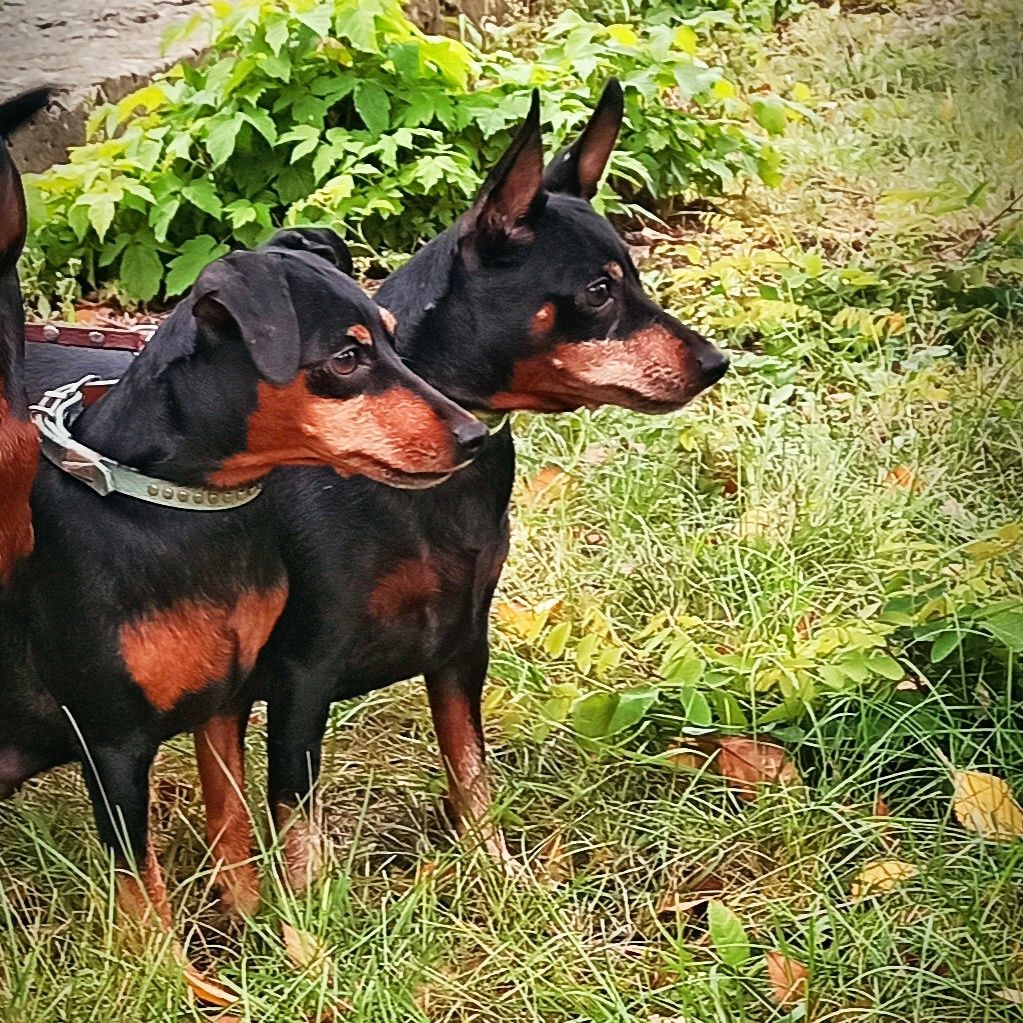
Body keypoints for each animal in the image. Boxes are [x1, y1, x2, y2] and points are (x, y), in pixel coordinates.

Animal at [0, 85, 486, 949]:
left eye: (396, 342)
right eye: (346, 359)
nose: (472, 436)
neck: (179, 512)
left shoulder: (223, 702)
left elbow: (232, 828)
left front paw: (279, 943)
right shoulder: (112, 742)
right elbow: (143, 891)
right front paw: (181, 971)